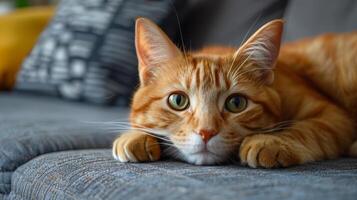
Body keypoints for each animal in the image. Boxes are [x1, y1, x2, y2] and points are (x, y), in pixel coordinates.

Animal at [112, 17, 356, 168]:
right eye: (178, 100)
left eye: (236, 103)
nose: (206, 132)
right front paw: (133, 136)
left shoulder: (334, 117)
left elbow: (306, 129)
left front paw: (269, 141)